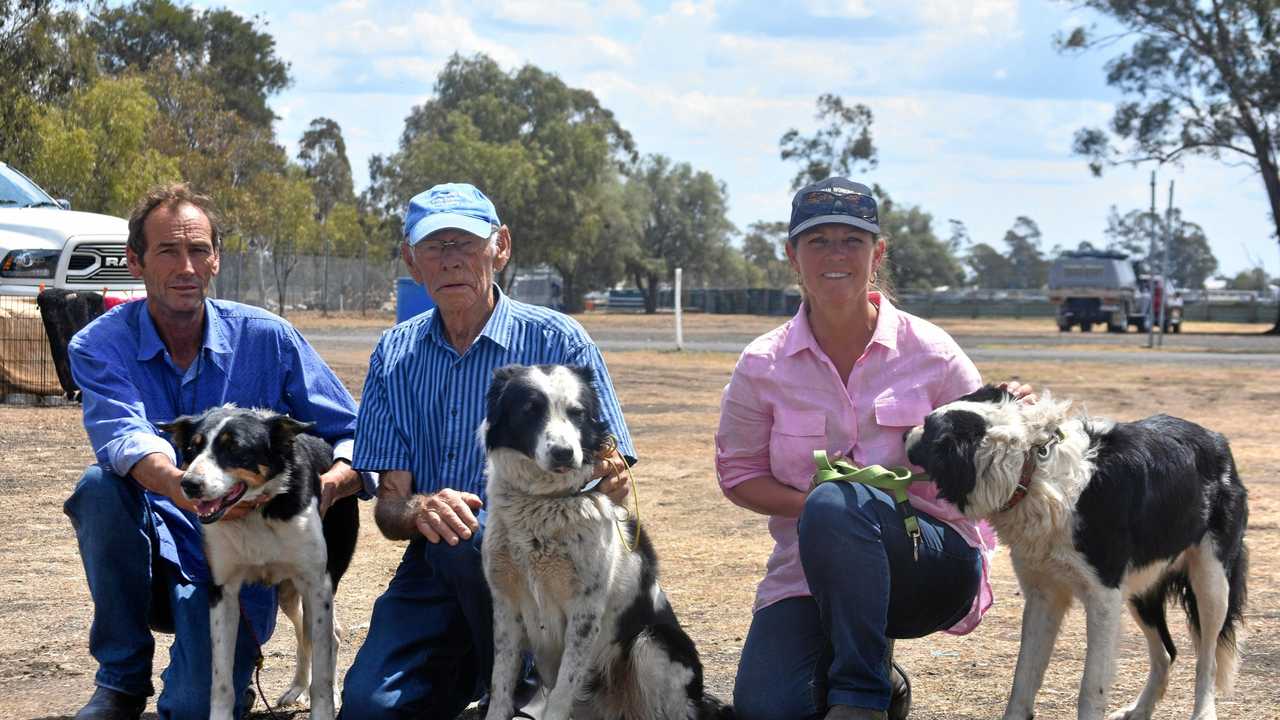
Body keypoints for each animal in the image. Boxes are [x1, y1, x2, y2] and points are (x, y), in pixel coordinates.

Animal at [162, 404, 360, 717]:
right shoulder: (223, 592)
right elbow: (221, 679)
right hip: (289, 594)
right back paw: (297, 687)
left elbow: (322, 674)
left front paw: (324, 707)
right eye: (192, 449)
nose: (189, 484)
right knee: (304, 634)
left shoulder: (317, 586)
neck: (256, 511)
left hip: (319, 584)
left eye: (234, 448)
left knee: (328, 637)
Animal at [478, 363, 732, 717]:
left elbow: (562, 691)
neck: (543, 502)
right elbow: (501, 683)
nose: (564, 453)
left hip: (652, 645)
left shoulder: (585, 611)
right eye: (530, 410)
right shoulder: (507, 605)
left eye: (577, 413)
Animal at [901, 384, 1249, 717]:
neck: (1031, 468)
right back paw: (1139, 710)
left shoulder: (1103, 598)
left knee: (1207, 659)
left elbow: (1091, 687)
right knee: (1166, 652)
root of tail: (1216, 439)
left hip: (1211, 584)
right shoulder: (1044, 594)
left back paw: (1203, 712)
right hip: (1141, 587)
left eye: (928, 429)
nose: (904, 434)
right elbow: (1023, 678)